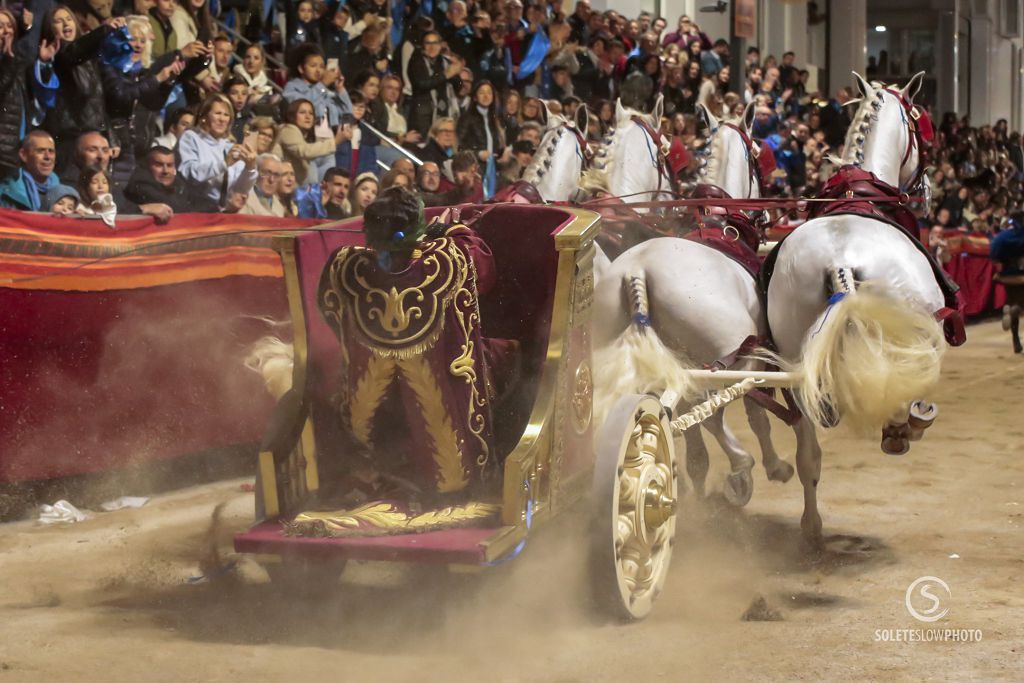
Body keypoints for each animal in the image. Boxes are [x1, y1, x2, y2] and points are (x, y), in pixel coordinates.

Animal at [589, 102, 794, 507]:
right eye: (759, 158)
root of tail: (637, 272)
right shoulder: (757, 355)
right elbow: (756, 415)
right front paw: (773, 465)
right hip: (725, 356)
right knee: (714, 412)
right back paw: (740, 468)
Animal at [765, 72, 946, 544]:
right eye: (923, 128)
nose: (927, 191)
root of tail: (841, 259)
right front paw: (909, 423)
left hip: (796, 359)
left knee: (808, 450)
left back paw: (811, 525)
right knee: (902, 383)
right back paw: (904, 427)